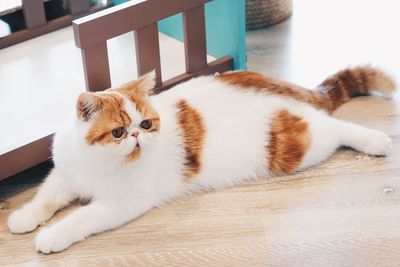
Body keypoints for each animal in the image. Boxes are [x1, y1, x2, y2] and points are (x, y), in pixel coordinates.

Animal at [7, 66, 396, 253]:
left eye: (145, 124)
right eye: (118, 132)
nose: (137, 137)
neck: (95, 163)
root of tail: (273, 82)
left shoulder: (121, 203)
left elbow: (80, 218)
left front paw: (52, 235)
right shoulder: (64, 176)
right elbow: (44, 198)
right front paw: (25, 217)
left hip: (298, 145)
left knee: (333, 126)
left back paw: (375, 140)